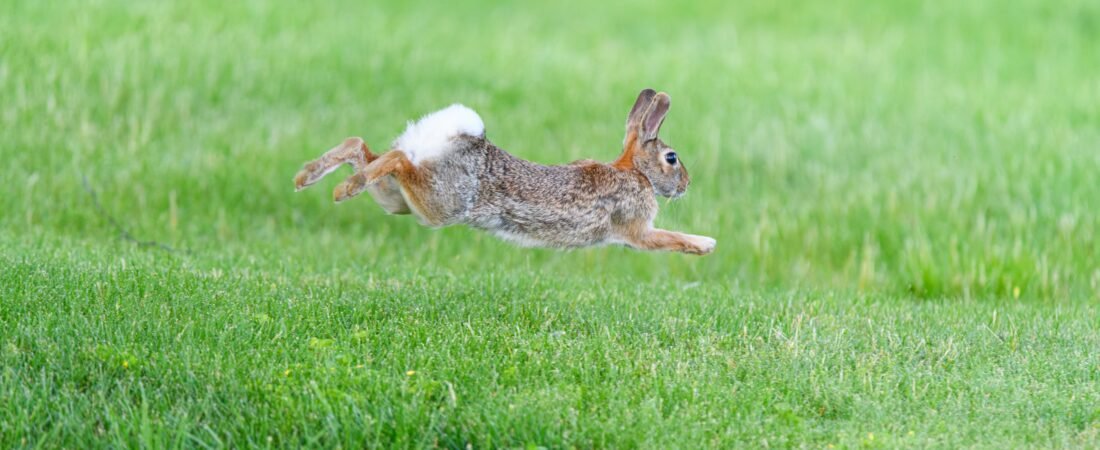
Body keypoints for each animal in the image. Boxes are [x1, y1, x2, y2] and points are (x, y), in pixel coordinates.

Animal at [293, 88, 716, 255]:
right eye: (672, 158)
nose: (687, 183)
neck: (636, 172)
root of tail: (450, 136)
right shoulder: (636, 230)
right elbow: (669, 238)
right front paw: (706, 245)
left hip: (399, 199)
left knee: (362, 147)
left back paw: (310, 178)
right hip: (440, 204)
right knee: (395, 158)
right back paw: (343, 189)